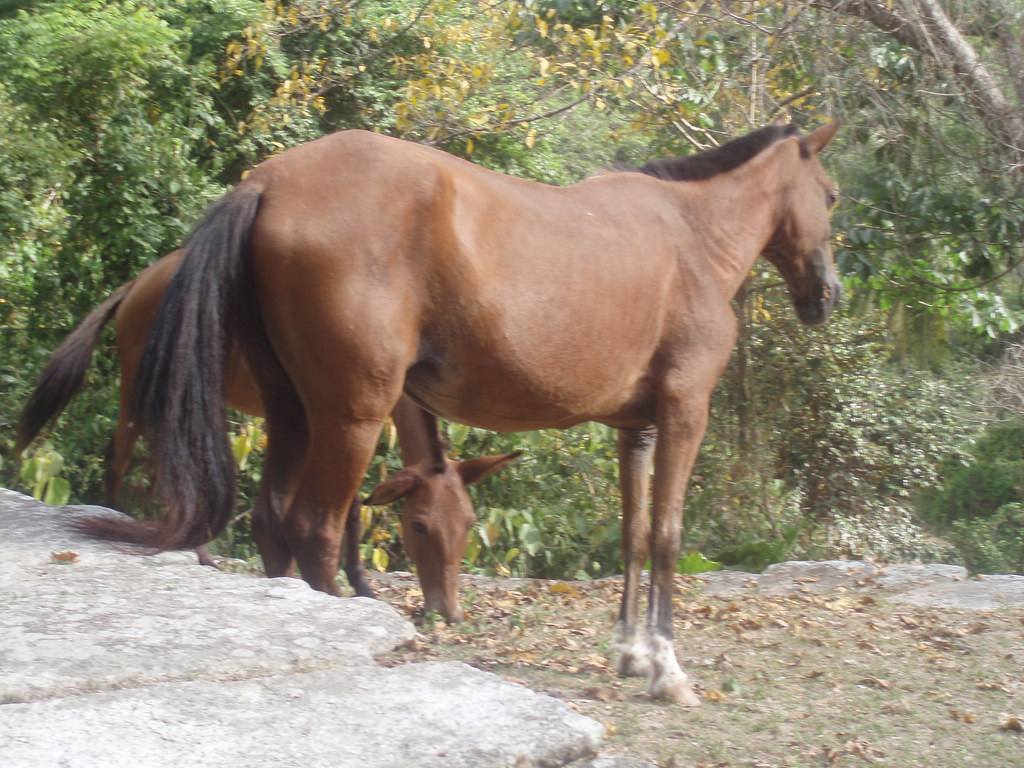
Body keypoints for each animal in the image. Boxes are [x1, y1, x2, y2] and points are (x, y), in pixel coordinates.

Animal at [13, 250, 519, 620]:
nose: (448, 612)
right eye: (419, 526)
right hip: (149, 391)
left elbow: (350, 510)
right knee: (124, 463)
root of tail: (137, 285)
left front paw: (359, 583)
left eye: (468, 524)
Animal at [69, 120, 840, 705]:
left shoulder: (637, 428)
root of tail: (268, 182)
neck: (689, 235)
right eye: (830, 194)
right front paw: (668, 669)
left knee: (272, 522)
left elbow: (632, 534)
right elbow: (670, 536)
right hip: (347, 416)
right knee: (314, 527)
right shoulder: (684, 412)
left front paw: (630, 653)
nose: (827, 294)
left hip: (293, 415)